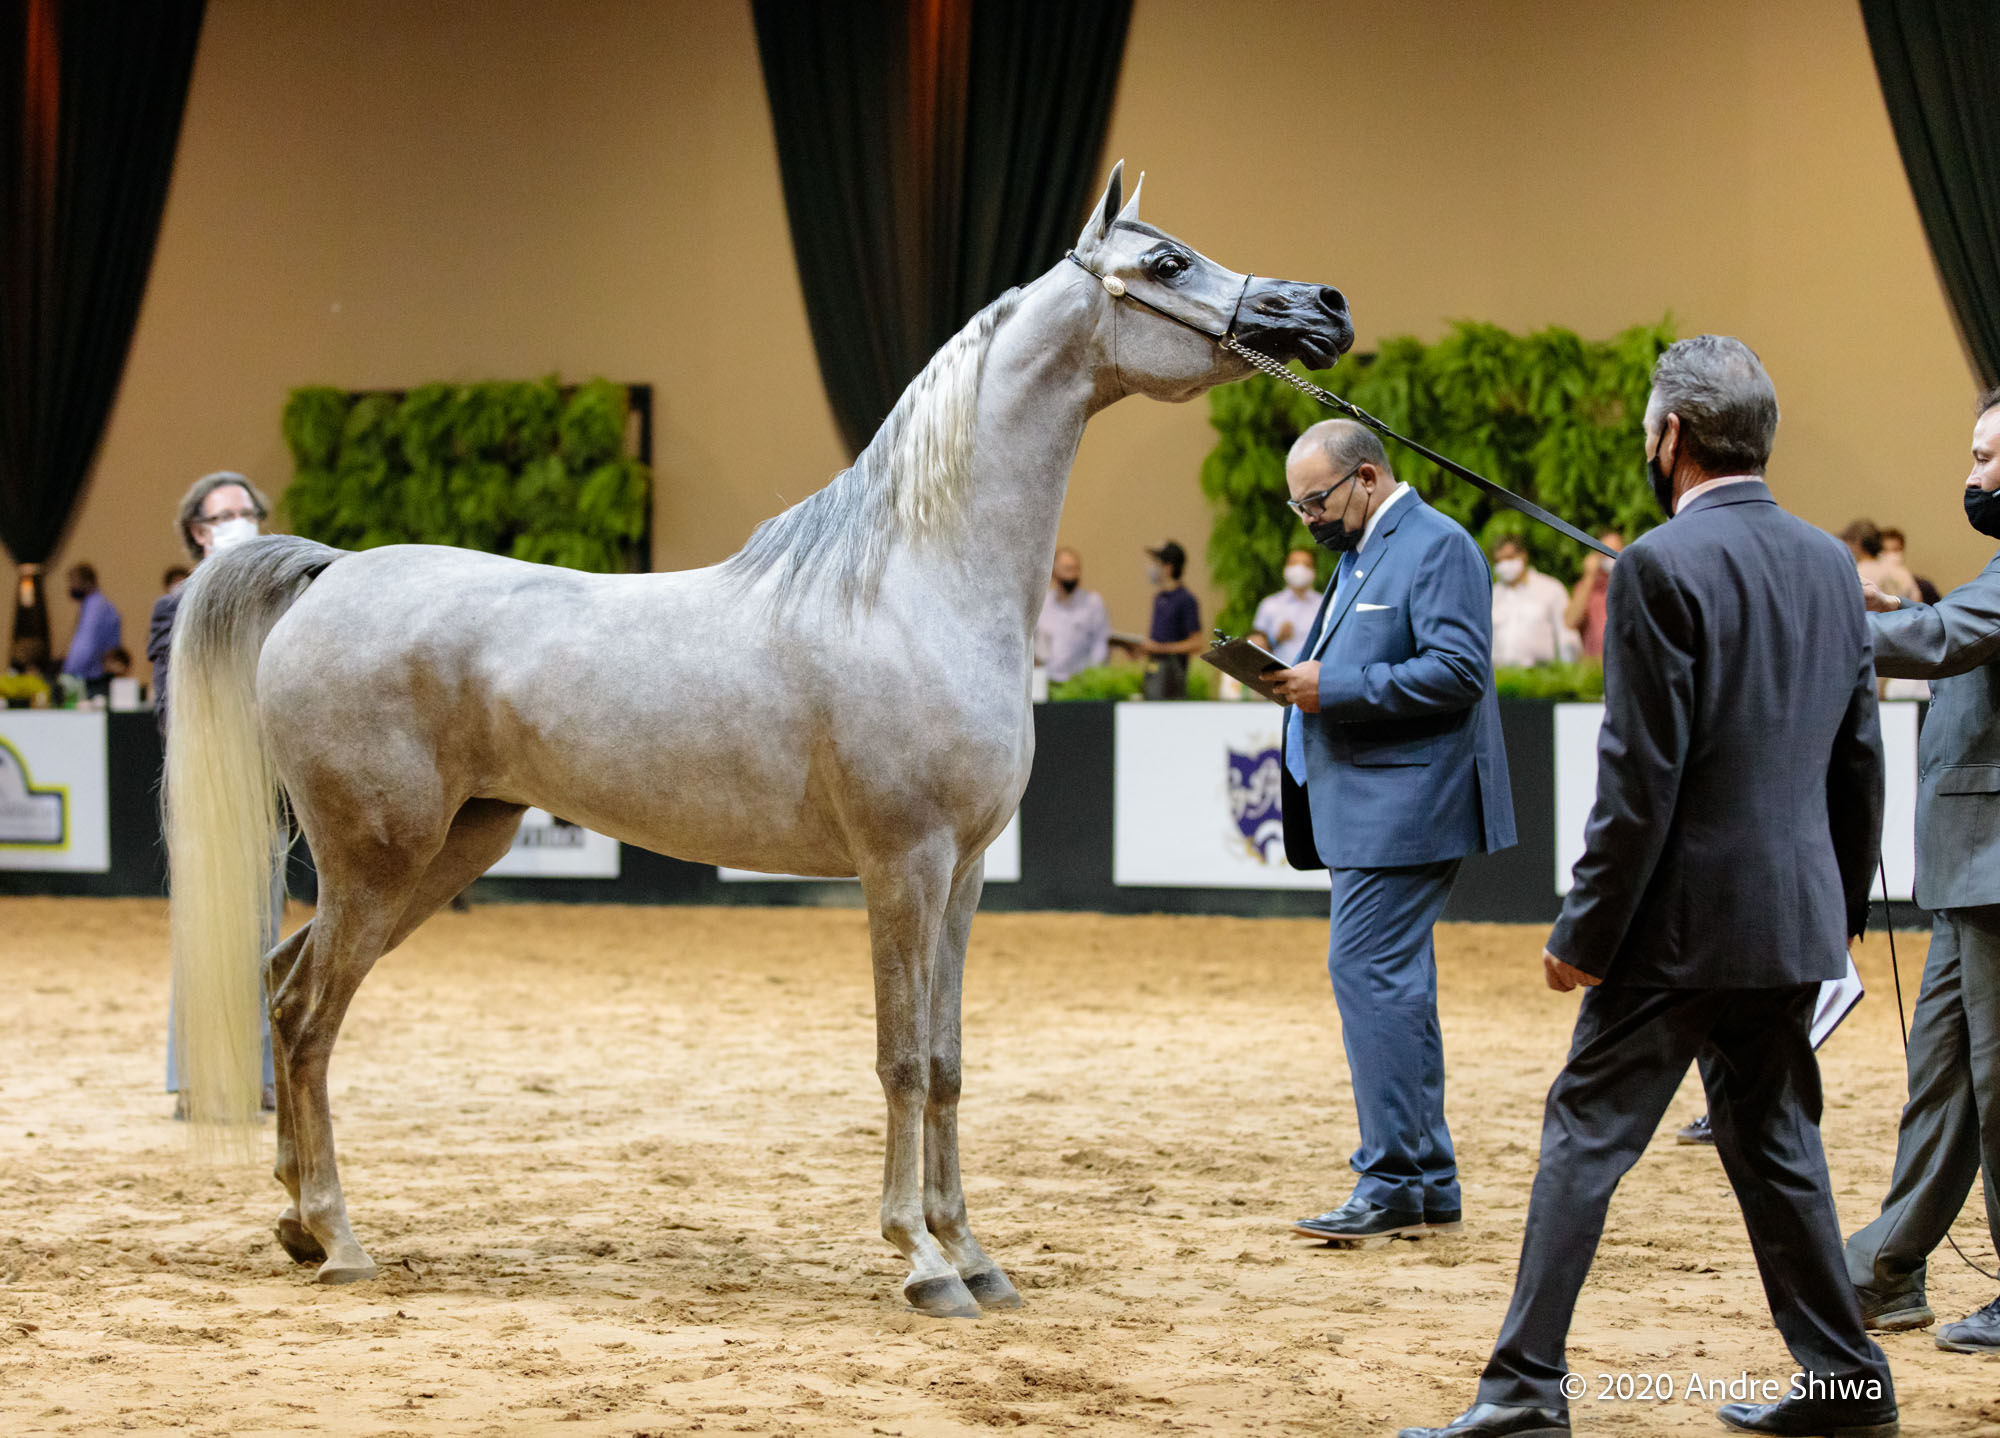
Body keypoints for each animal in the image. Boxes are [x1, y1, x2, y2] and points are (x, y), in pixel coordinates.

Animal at [172, 163, 1352, 1320]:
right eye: (1167, 262)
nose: (1323, 307)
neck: (916, 587)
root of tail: (332, 572)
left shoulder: (964, 874)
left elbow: (948, 1061)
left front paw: (975, 1255)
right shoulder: (903, 865)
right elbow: (901, 1059)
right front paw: (920, 1260)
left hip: (449, 848)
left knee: (282, 983)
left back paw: (294, 1222)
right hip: (378, 860)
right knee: (308, 1016)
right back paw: (338, 1238)